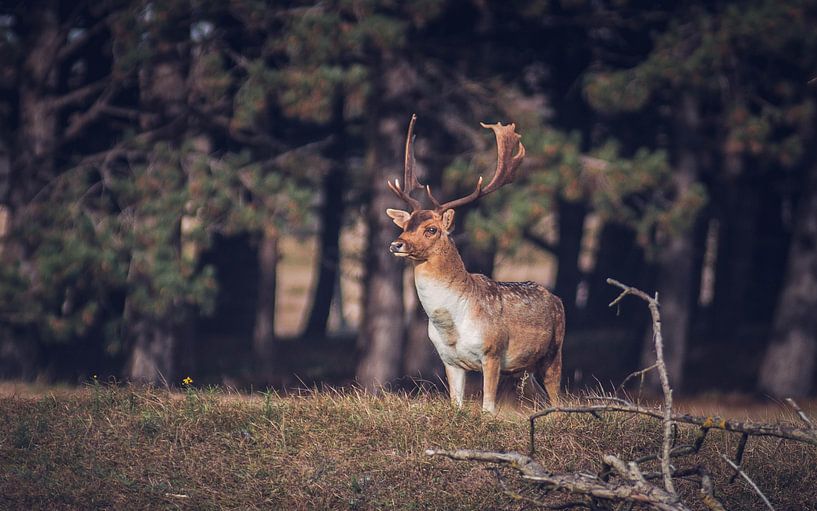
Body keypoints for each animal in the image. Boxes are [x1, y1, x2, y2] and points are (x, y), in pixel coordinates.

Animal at [386, 114, 565, 414]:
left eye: (431, 229)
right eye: (406, 225)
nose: (396, 244)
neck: (451, 326)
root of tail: (556, 298)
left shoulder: (492, 352)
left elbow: (488, 408)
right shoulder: (449, 360)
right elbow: (456, 404)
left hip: (555, 350)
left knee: (556, 394)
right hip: (523, 368)